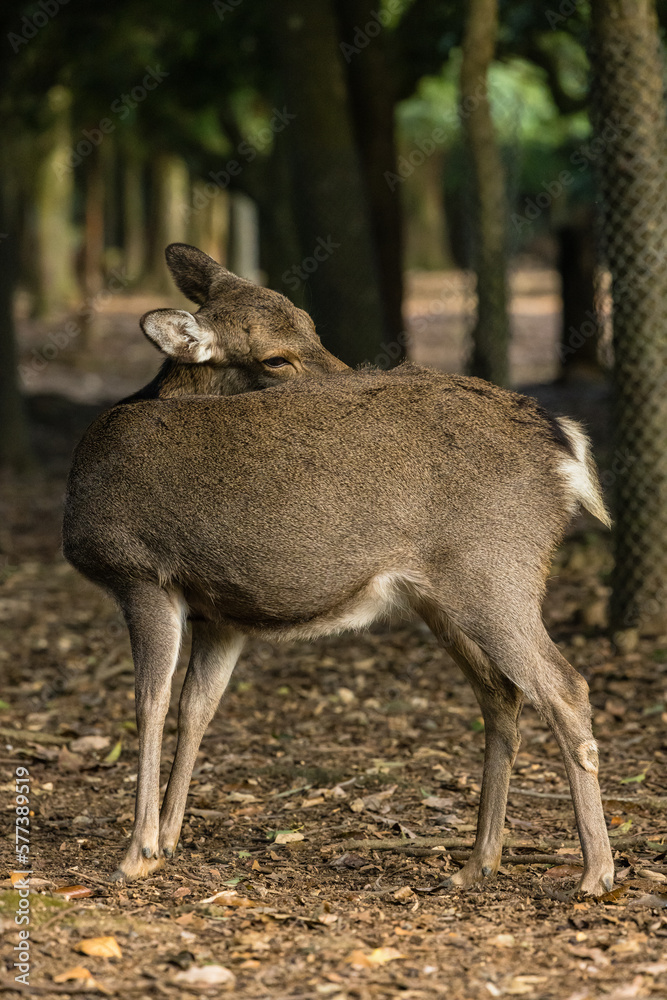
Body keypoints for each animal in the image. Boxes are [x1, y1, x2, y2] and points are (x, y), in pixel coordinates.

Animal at [62, 245, 615, 897]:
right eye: (275, 356)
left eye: (311, 327)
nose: (349, 373)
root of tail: (567, 446)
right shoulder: (223, 614)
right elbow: (197, 707)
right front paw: (169, 839)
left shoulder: (140, 571)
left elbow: (148, 703)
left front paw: (136, 853)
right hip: (444, 592)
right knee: (502, 693)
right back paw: (478, 861)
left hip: (495, 569)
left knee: (565, 687)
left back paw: (596, 872)